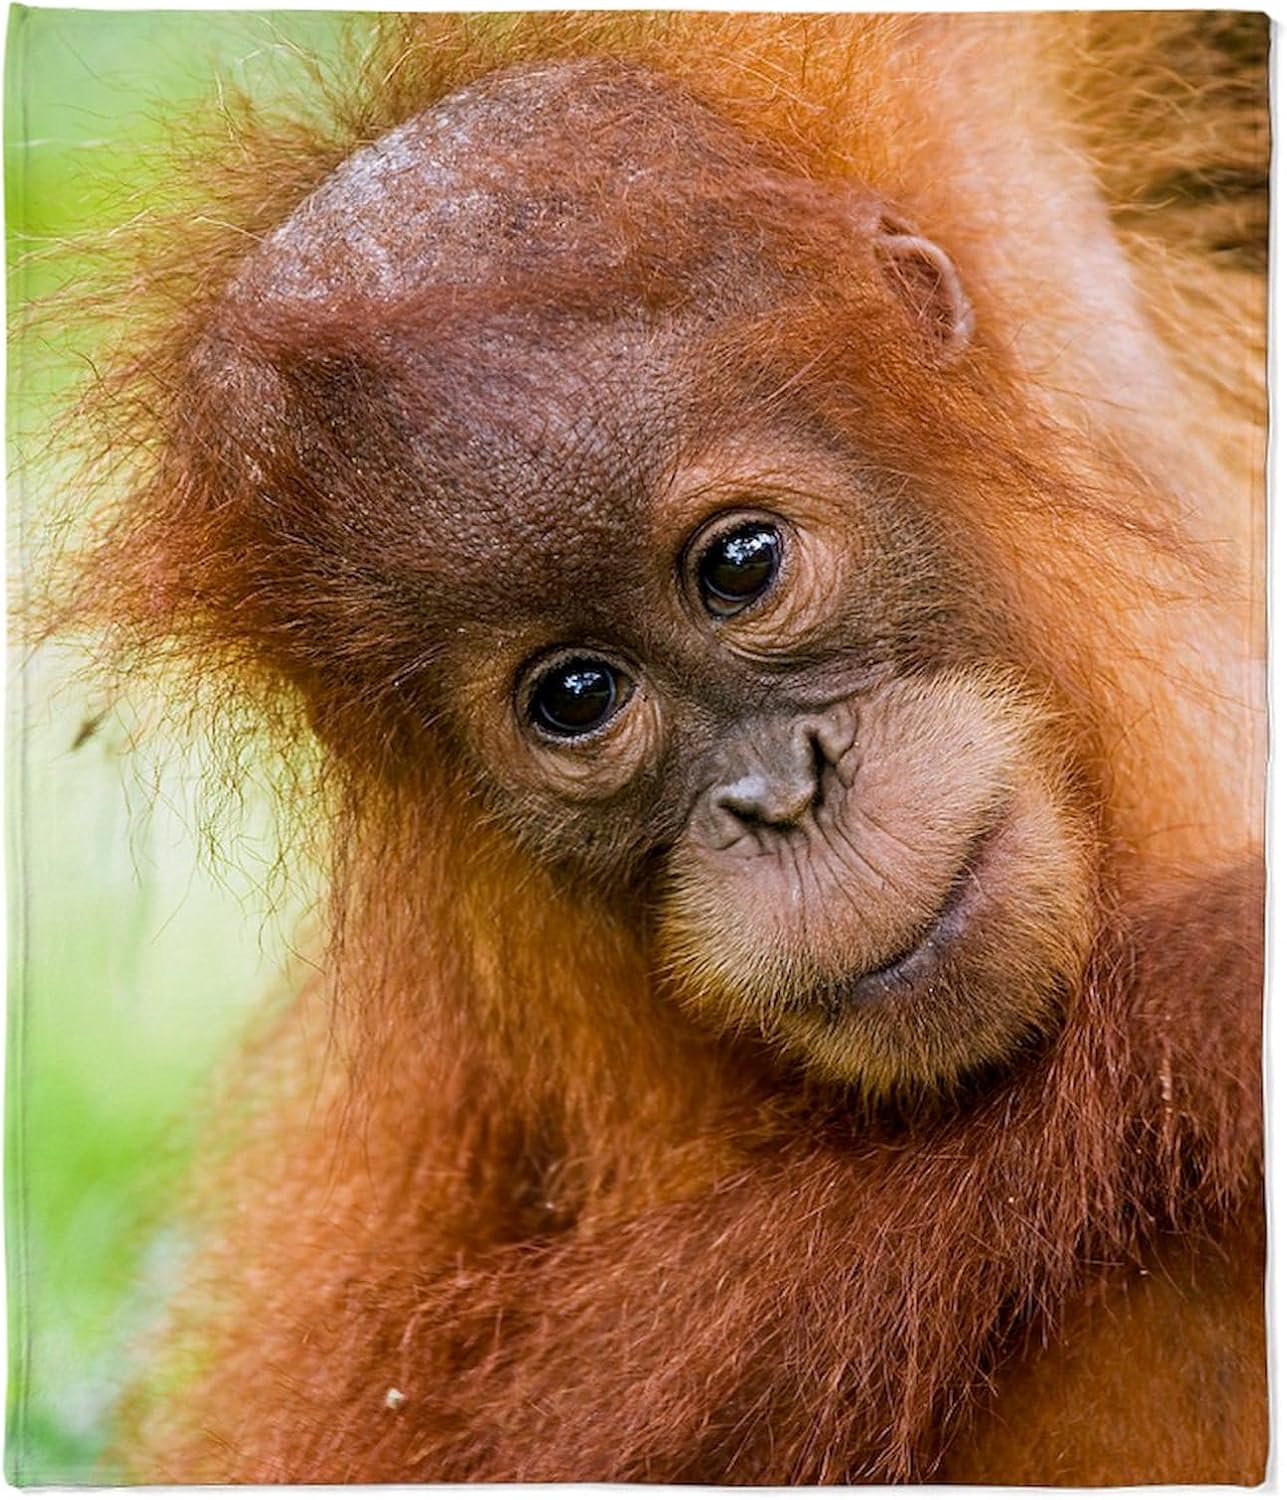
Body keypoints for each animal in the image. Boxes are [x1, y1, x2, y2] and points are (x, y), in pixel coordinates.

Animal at [38, 11, 1265, 1485]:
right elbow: (490, 1430)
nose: (782, 798)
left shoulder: (997, 178)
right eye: (573, 696)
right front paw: (1227, 993)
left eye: (740, 563)